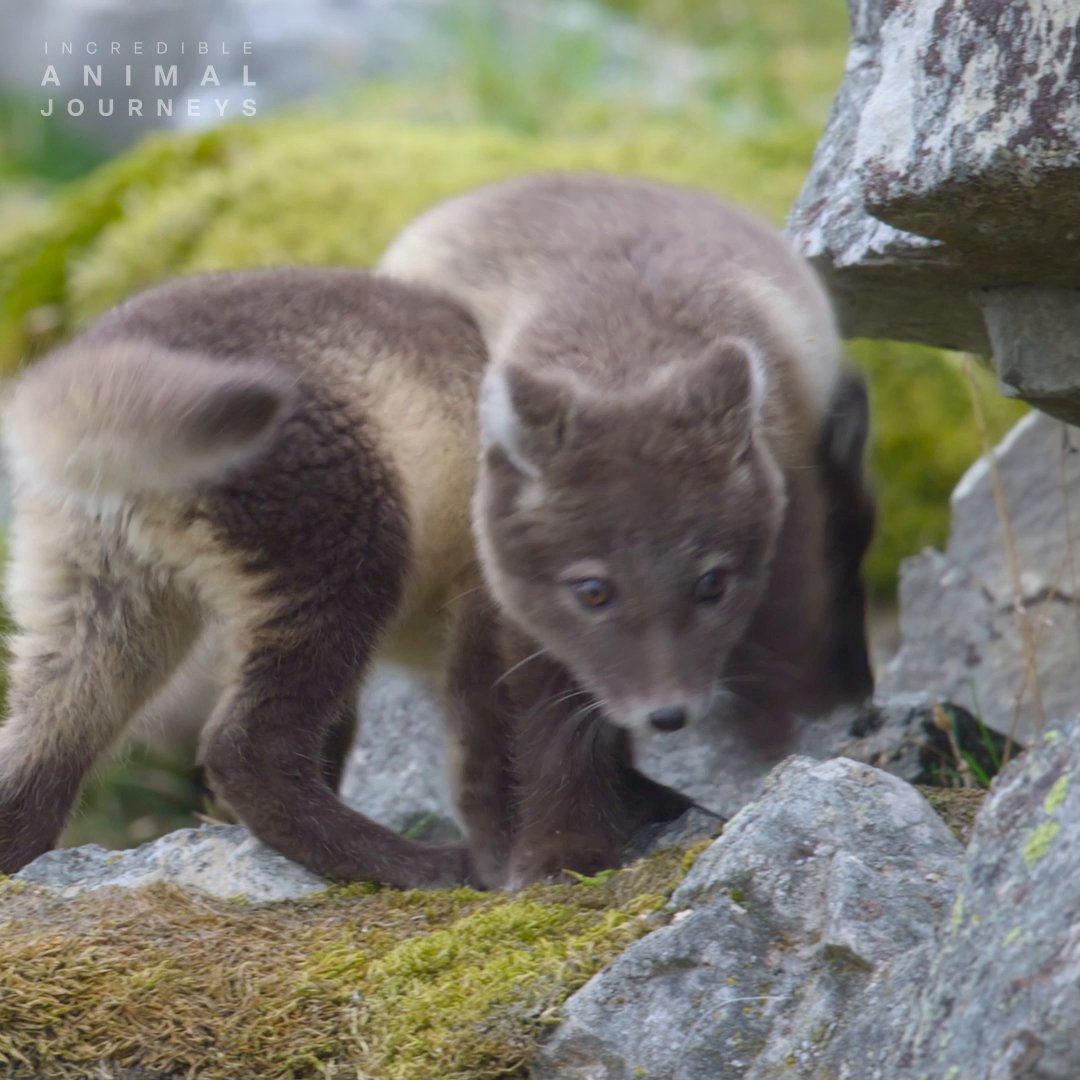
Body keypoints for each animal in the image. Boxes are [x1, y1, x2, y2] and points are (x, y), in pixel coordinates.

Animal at [379, 173, 874, 886]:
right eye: (592, 592)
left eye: (712, 583)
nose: (667, 714)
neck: (624, 352)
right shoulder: (518, 619)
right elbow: (548, 728)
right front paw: (559, 854)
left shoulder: (792, 533)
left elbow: (781, 658)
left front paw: (768, 758)